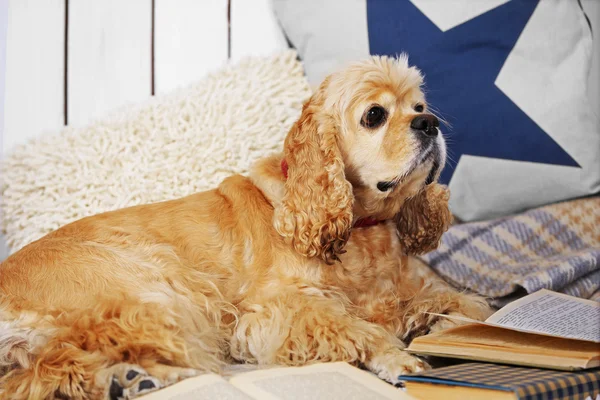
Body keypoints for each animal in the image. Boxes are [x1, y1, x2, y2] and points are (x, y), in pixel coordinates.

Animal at [0, 57, 490, 400]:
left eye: (419, 107)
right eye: (374, 115)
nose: (430, 123)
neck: (362, 230)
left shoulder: (420, 286)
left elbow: (471, 308)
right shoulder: (276, 310)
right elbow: (357, 328)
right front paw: (397, 357)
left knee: (52, 371)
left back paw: (129, 379)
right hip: (151, 287)